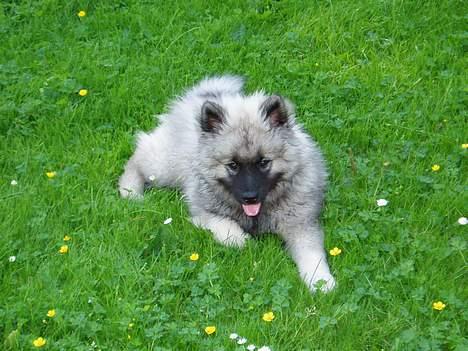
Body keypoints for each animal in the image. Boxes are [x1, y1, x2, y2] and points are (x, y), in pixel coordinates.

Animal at [119, 75, 334, 292]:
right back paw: (130, 191)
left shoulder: (301, 225)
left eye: (263, 162)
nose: (250, 197)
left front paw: (321, 280)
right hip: (165, 167)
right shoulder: (206, 211)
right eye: (233, 165)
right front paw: (244, 241)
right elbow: (228, 229)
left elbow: (312, 254)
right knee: (137, 156)